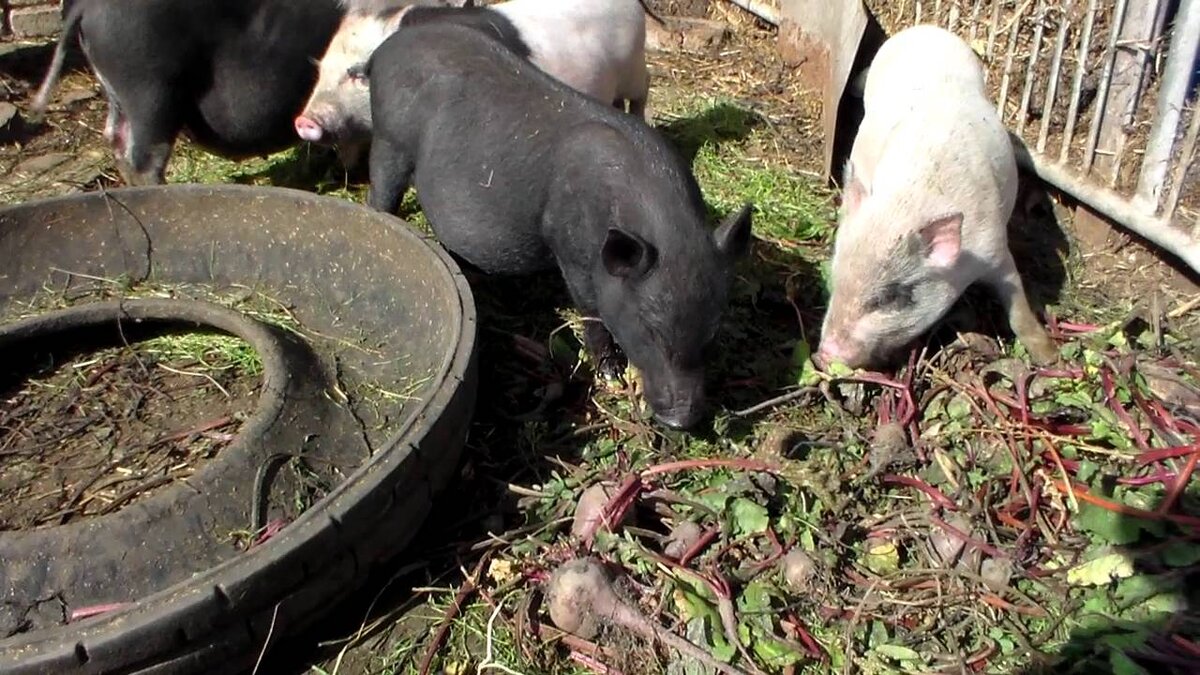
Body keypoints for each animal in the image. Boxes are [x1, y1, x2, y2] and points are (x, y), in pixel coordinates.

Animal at [362, 23, 748, 427]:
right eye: (650, 329)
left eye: (713, 331)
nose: (681, 421)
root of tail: (385, 49)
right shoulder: (571, 251)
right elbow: (592, 313)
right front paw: (610, 376)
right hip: (389, 140)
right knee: (380, 194)